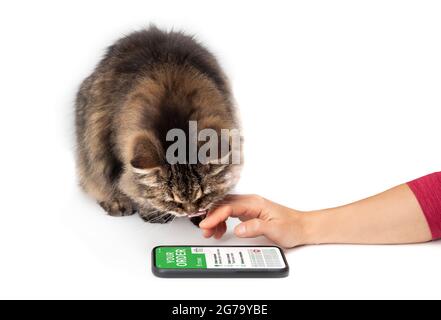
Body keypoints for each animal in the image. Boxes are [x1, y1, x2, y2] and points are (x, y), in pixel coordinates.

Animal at [74, 25, 242, 225]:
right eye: (171, 200)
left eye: (203, 195)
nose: (190, 212)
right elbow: (133, 187)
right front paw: (151, 212)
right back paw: (117, 202)